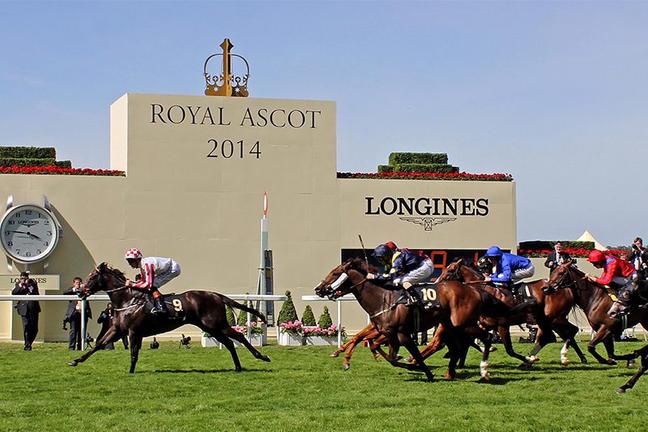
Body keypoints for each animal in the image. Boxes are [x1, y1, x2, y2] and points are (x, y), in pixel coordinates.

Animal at [69, 262, 272, 372]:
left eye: (92, 277)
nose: (80, 292)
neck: (128, 299)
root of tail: (215, 295)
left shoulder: (133, 331)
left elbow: (133, 353)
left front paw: (131, 371)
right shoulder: (118, 329)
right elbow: (99, 344)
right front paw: (76, 360)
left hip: (216, 324)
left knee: (238, 336)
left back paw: (261, 356)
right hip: (209, 327)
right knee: (230, 343)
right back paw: (237, 367)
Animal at [314, 258, 492, 380]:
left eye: (335, 273)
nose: (318, 289)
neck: (382, 299)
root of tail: (474, 290)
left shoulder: (401, 334)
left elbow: (402, 356)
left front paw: (414, 366)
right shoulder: (388, 333)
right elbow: (382, 350)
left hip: (463, 324)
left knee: (485, 338)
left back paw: (483, 369)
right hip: (451, 327)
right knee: (456, 348)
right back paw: (451, 372)